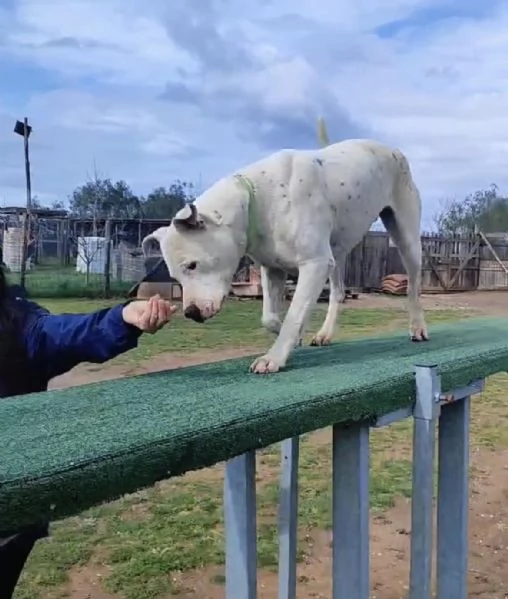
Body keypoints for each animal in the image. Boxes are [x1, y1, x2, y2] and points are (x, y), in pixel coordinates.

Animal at [143, 141, 428, 376]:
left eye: (192, 265)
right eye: (174, 277)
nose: (190, 313)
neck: (256, 199)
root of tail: (392, 149)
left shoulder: (314, 264)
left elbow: (293, 314)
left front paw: (274, 357)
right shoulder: (272, 269)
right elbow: (270, 318)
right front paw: (294, 338)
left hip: (406, 240)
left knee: (413, 288)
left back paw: (417, 327)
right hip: (335, 252)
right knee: (338, 293)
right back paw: (324, 333)